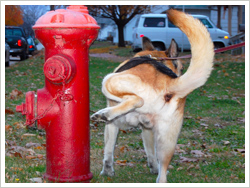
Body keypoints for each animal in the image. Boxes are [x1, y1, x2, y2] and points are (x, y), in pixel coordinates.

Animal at [91, 9, 214, 183]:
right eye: (181, 68)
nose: (179, 72)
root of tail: (170, 85)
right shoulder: (147, 130)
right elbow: (150, 153)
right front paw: (152, 167)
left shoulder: (112, 126)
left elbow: (108, 151)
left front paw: (107, 171)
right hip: (167, 142)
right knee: (162, 174)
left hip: (109, 81)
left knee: (136, 100)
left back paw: (103, 114)